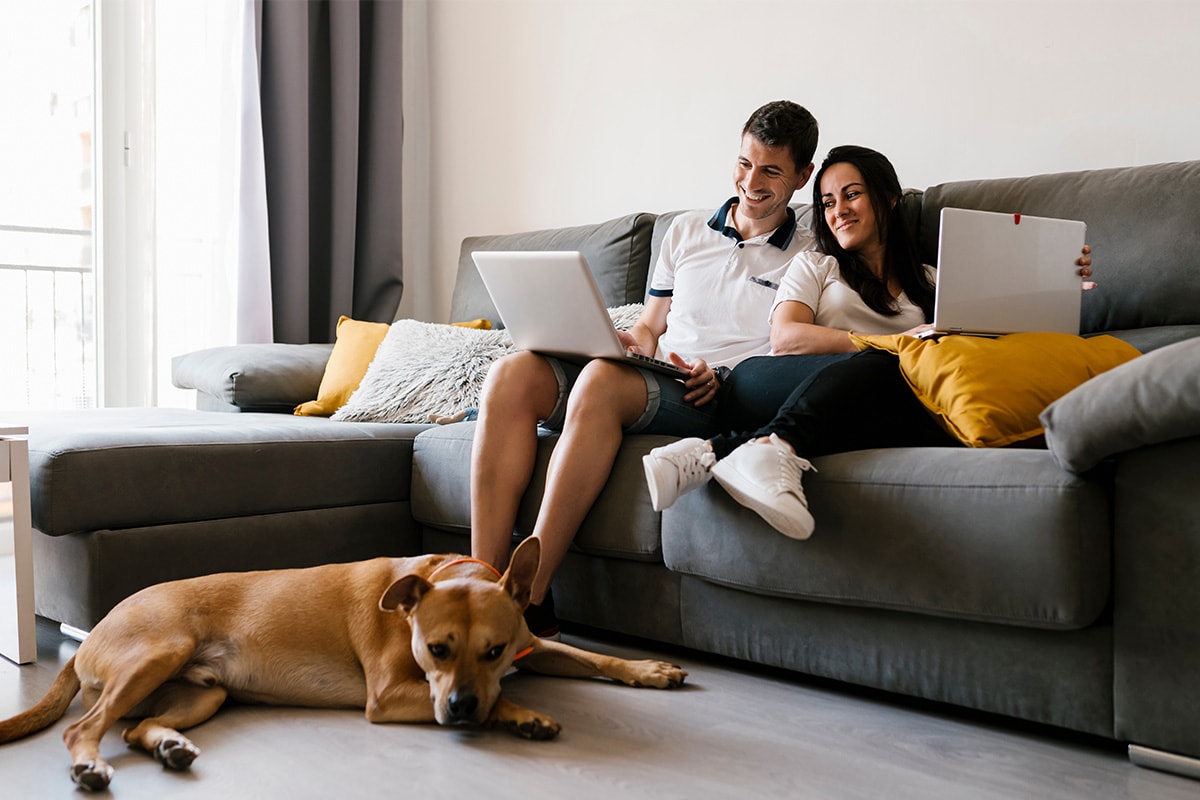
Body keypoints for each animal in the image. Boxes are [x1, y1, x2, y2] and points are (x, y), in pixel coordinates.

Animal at [0, 534, 686, 791]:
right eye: (436, 650)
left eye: (493, 651)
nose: (461, 708)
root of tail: (95, 628)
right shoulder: (390, 696)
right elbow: (500, 700)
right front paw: (520, 714)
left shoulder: (529, 645)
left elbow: (590, 655)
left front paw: (647, 669)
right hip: (157, 652)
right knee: (83, 728)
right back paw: (90, 765)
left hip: (203, 692)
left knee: (138, 726)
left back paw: (169, 745)